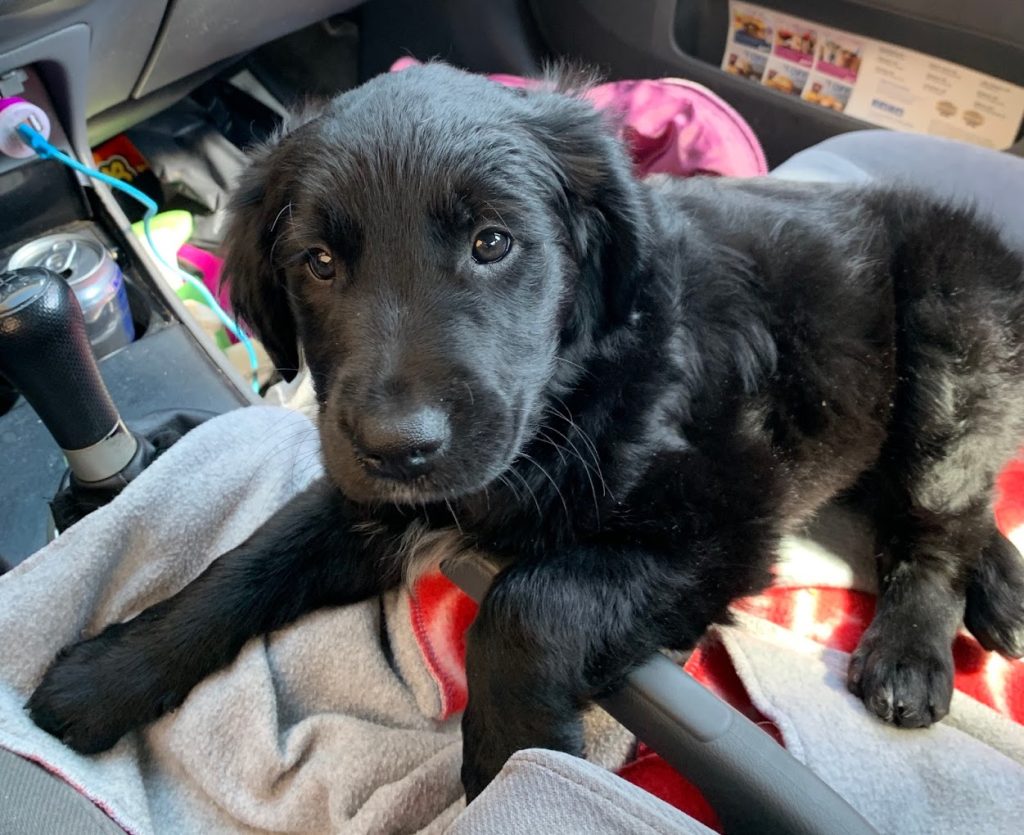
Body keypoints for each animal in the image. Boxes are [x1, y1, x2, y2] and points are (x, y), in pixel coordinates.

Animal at [27, 63, 1024, 800]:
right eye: (318, 261)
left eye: (493, 243)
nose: (399, 445)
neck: (569, 394)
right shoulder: (366, 493)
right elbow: (247, 561)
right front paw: (109, 671)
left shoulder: (725, 522)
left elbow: (529, 602)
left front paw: (514, 760)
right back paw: (1004, 591)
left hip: (951, 343)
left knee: (938, 517)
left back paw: (909, 651)